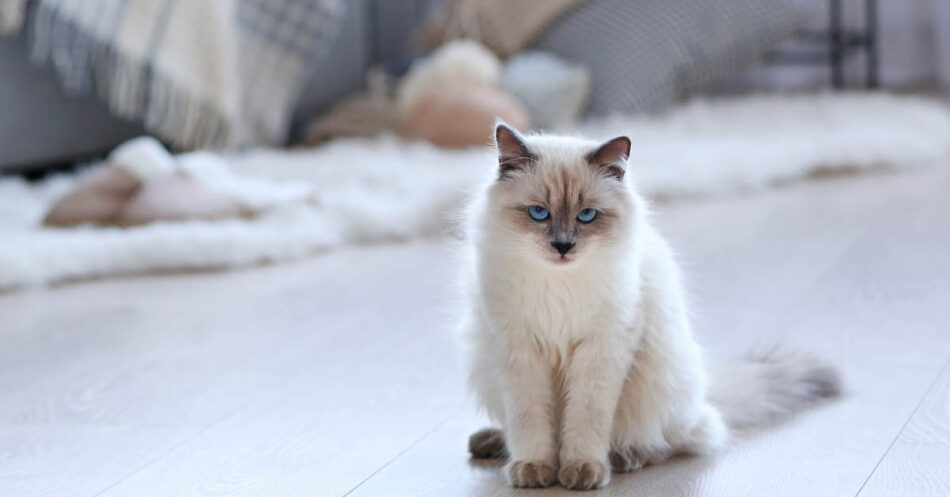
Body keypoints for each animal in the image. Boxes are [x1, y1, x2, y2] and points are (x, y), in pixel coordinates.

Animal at [462, 123, 840, 488]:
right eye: (539, 213)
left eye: (587, 216)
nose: (563, 247)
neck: (560, 286)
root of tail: (704, 397)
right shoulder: (520, 351)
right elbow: (529, 421)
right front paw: (534, 469)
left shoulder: (602, 349)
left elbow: (586, 417)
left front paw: (581, 470)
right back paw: (493, 443)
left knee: (675, 440)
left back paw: (623, 458)